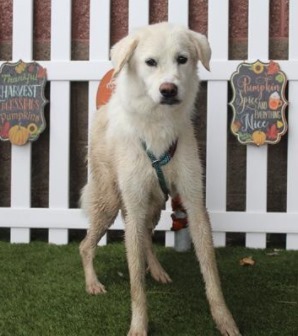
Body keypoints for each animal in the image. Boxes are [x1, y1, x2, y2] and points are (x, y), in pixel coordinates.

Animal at [80, 22, 241, 334]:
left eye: (182, 59)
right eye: (150, 62)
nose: (169, 89)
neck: (158, 125)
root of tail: (107, 107)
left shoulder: (194, 203)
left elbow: (211, 273)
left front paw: (224, 319)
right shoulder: (133, 206)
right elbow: (136, 285)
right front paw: (139, 325)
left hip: (153, 206)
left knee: (145, 239)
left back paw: (156, 270)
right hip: (110, 203)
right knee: (85, 246)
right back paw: (92, 283)